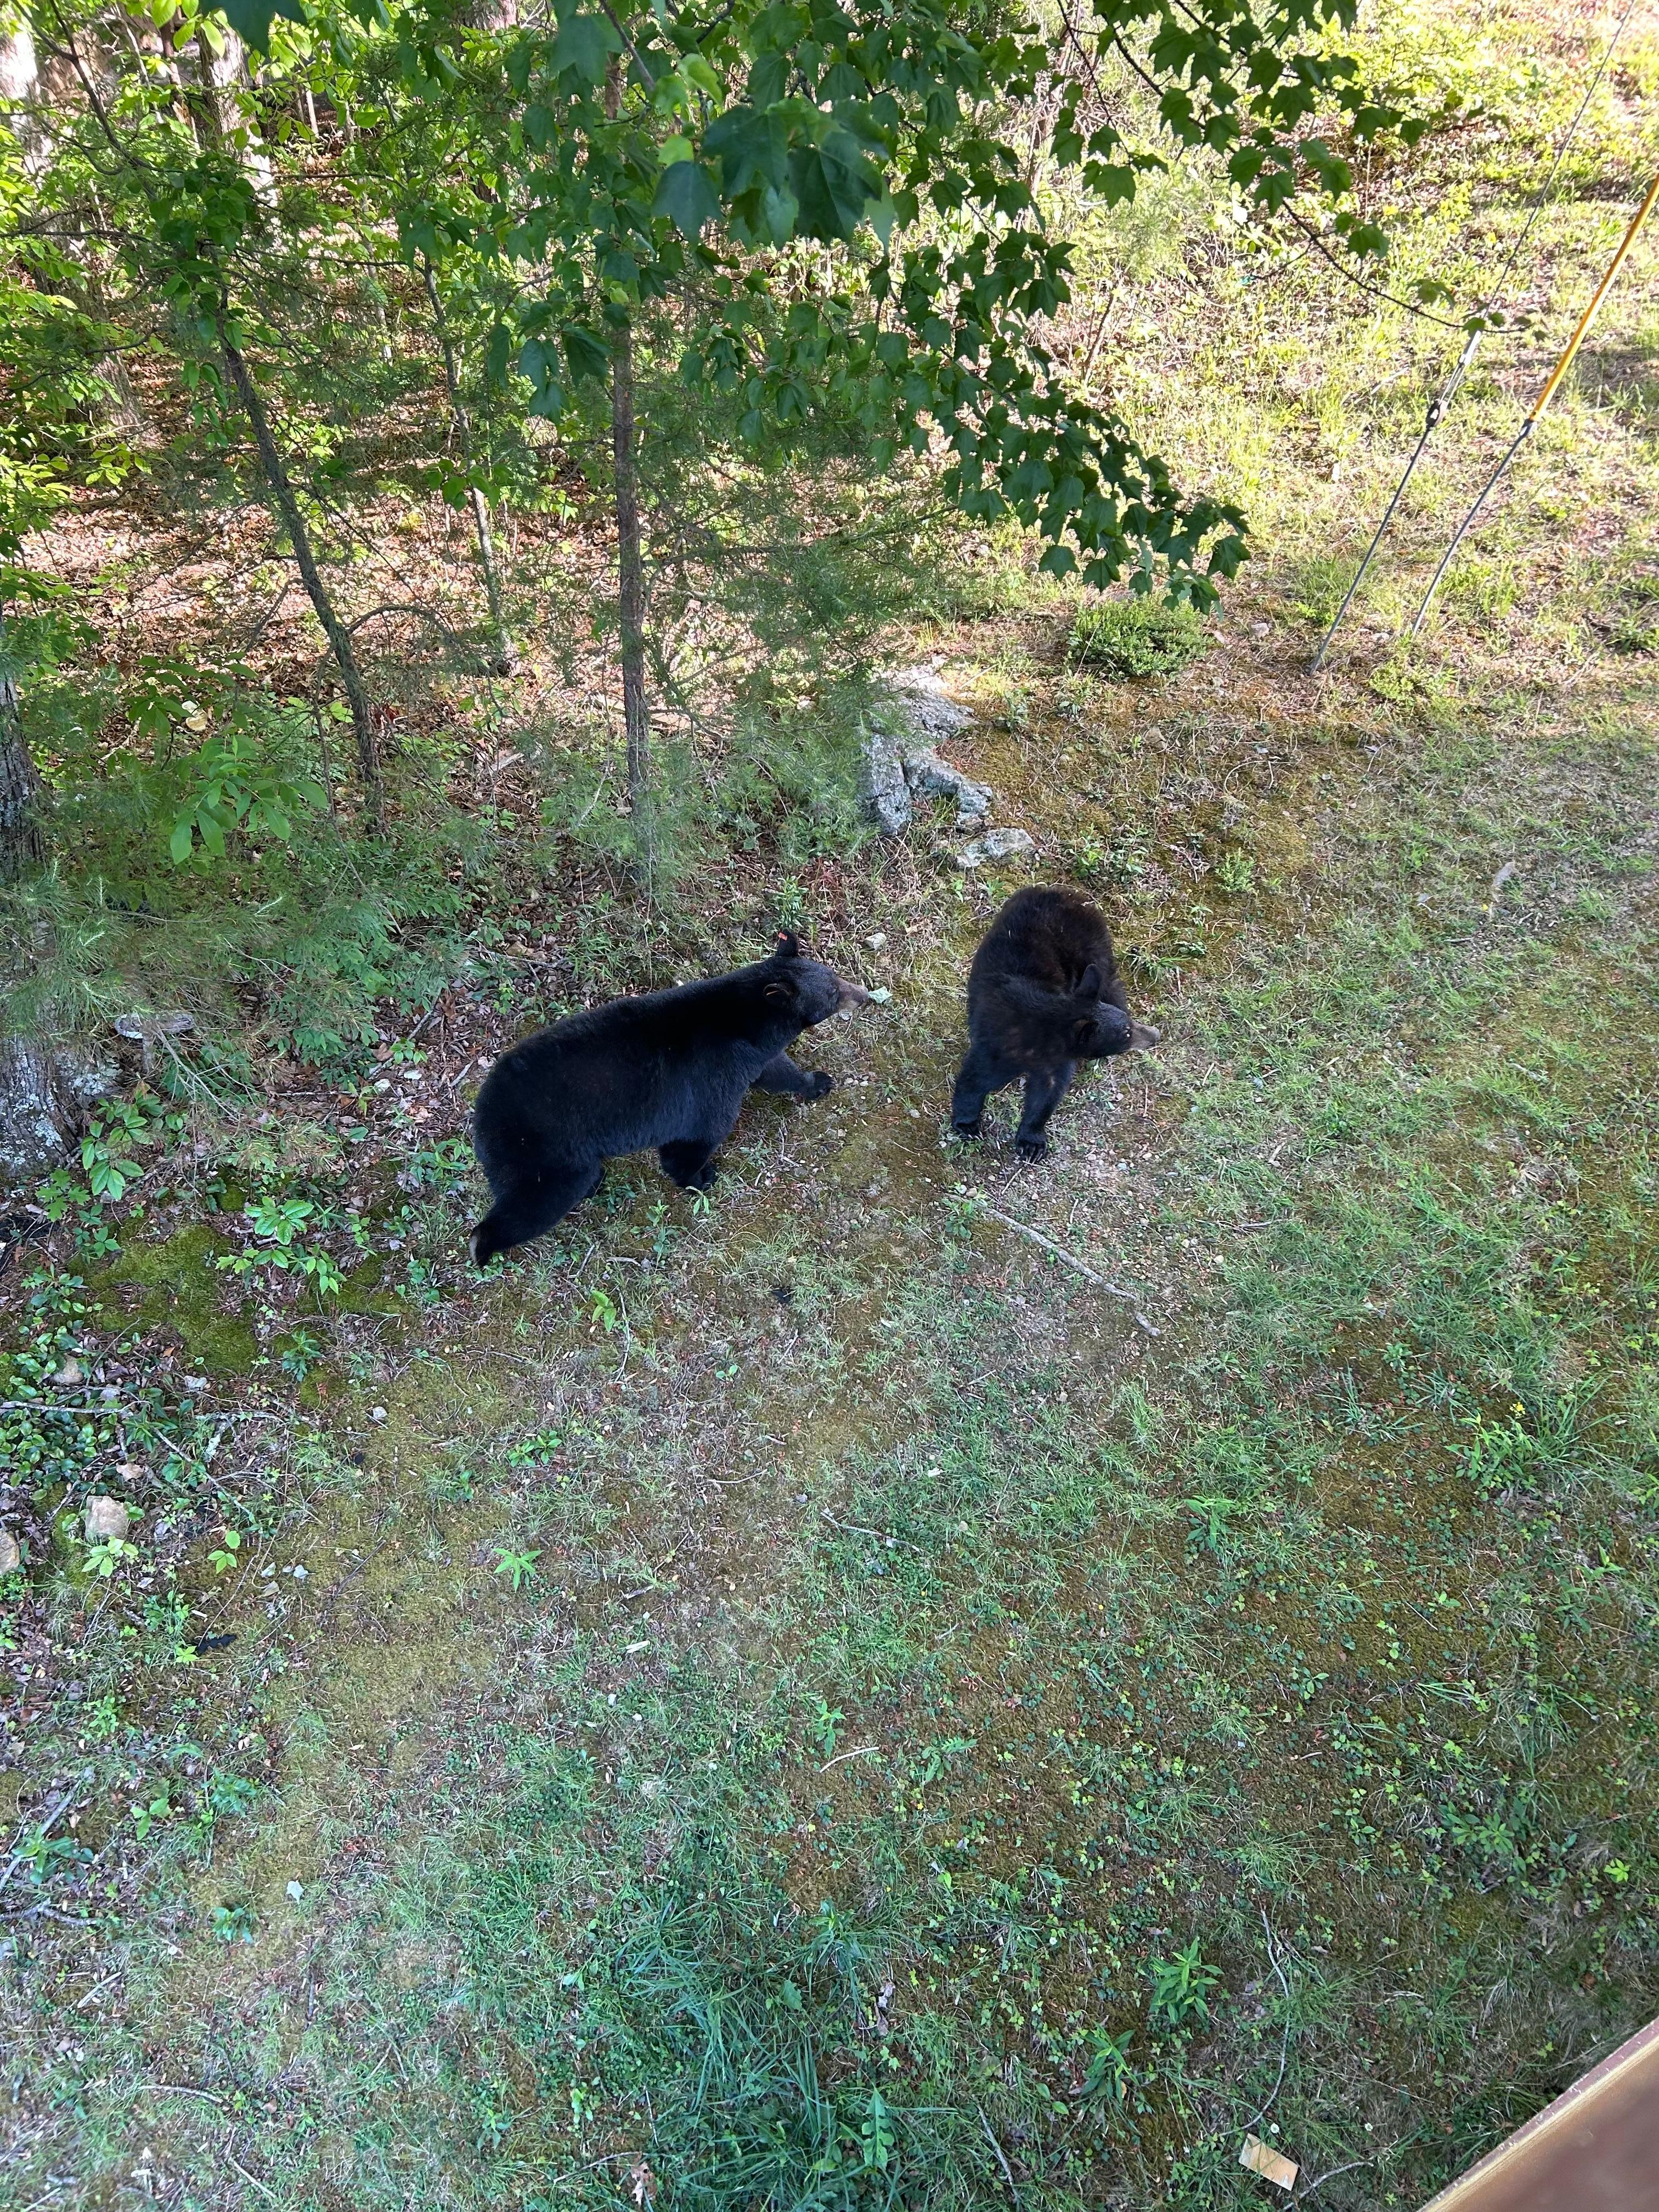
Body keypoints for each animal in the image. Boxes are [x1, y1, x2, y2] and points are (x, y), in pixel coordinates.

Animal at [469, 932, 869, 1265]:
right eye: (833, 992)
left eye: (835, 975)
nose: (865, 996)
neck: (744, 1023)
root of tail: (482, 1117)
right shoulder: (711, 1077)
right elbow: (698, 1136)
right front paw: (700, 1177)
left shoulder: (751, 1057)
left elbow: (778, 1071)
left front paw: (817, 1082)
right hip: (544, 1150)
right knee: (538, 1200)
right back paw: (482, 1246)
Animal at [950, 886, 1158, 1160]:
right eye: (1126, 1032)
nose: (1155, 1034)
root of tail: (1065, 892)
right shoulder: (998, 1042)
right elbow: (976, 1077)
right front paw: (968, 1124)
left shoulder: (1055, 1061)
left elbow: (1047, 1094)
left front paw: (1032, 1142)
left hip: (1092, 950)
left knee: (1107, 983)